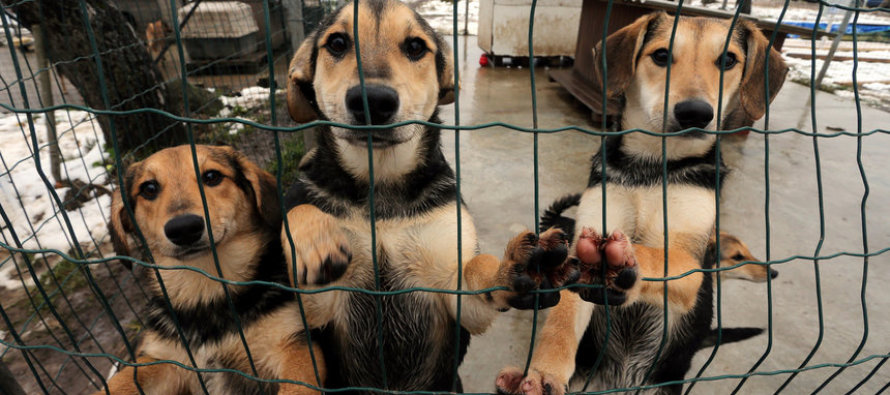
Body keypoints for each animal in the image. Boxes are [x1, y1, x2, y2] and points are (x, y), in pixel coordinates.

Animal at [280, 0, 580, 392]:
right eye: (337, 43)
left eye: (415, 47)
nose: (372, 101)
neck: (382, 190)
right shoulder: (316, 311)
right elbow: (297, 207)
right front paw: (317, 241)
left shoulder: (457, 300)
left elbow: (476, 271)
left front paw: (510, 266)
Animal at [496, 12, 788, 395]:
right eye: (661, 55)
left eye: (728, 60)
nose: (695, 113)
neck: (651, 166)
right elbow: (562, 320)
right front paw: (545, 372)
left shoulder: (691, 267)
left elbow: (655, 255)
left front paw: (621, 257)